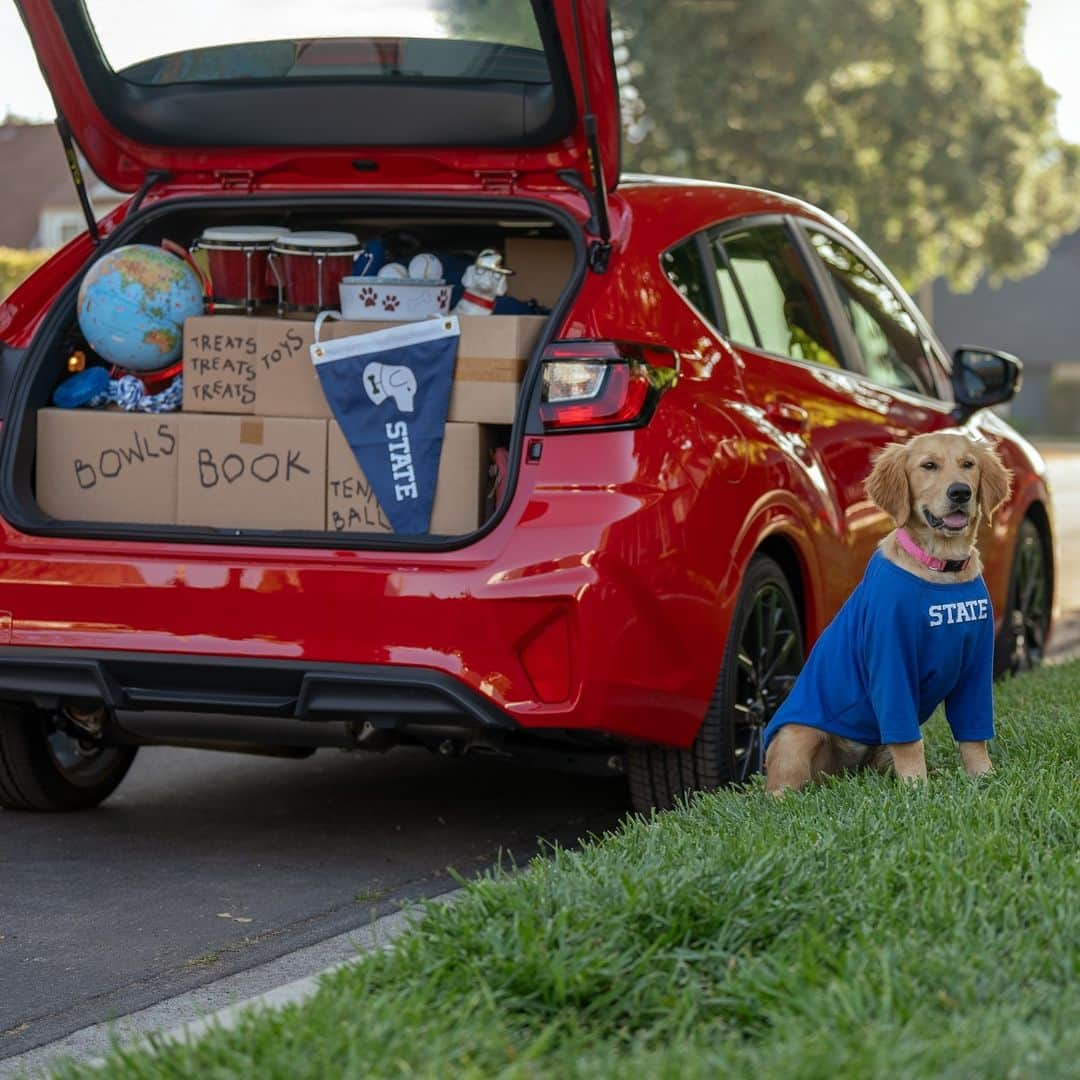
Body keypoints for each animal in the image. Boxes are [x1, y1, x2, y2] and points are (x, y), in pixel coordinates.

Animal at [764, 429, 1006, 794]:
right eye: (929, 466)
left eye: (968, 465)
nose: (960, 492)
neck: (940, 567)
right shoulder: (892, 661)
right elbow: (909, 741)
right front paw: (917, 788)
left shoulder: (976, 664)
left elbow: (973, 734)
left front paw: (984, 776)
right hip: (796, 736)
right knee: (778, 786)